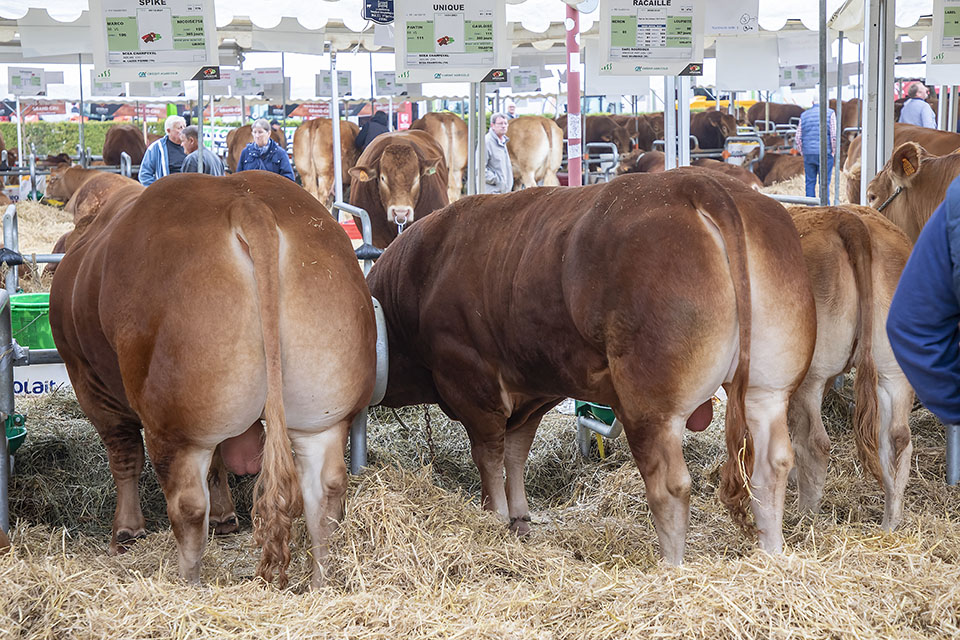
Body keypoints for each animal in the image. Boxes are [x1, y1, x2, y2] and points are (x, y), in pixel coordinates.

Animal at [49, 172, 377, 589]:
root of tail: (247, 204)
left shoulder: (89, 381)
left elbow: (124, 456)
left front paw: (126, 531)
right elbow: (219, 460)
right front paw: (225, 518)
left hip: (175, 425)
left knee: (188, 506)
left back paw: (187, 585)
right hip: (323, 413)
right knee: (326, 494)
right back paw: (321, 583)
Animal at [366, 170, 817, 562]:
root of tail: (703, 185)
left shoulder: (472, 385)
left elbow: (491, 457)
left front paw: (494, 518)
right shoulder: (533, 389)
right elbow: (516, 452)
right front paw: (519, 519)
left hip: (651, 404)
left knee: (670, 484)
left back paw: (672, 566)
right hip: (768, 388)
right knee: (772, 466)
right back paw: (772, 555)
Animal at [787, 205, 913, 531]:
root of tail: (850, 220)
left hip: (811, 374)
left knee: (815, 442)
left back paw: (805, 519)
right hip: (893, 372)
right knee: (897, 440)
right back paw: (890, 526)